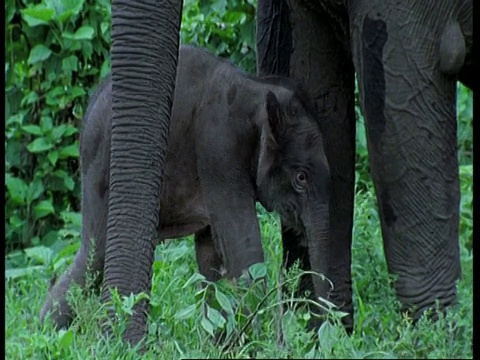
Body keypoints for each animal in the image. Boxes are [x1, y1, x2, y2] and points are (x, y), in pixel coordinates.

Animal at [41, 44, 332, 330]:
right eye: (301, 177)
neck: (259, 92)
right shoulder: (219, 150)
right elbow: (242, 245)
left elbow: (210, 256)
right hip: (101, 169)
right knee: (96, 253)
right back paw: (49, 330)